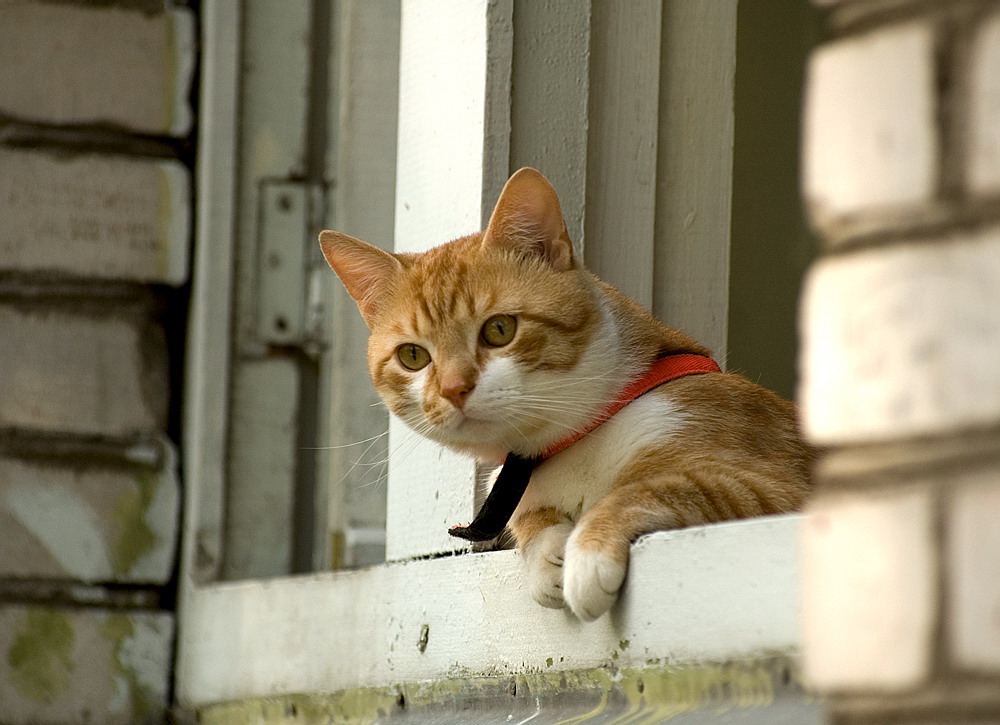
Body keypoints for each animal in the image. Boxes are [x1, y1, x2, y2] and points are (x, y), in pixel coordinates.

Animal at [320, 167, 812, 620]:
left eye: (500, 330)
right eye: (413, 356)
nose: (454, 389)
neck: (570, 443)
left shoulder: (772, 487)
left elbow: (661, 487)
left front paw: (586, 553)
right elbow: (533, 519)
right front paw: (547, 558)